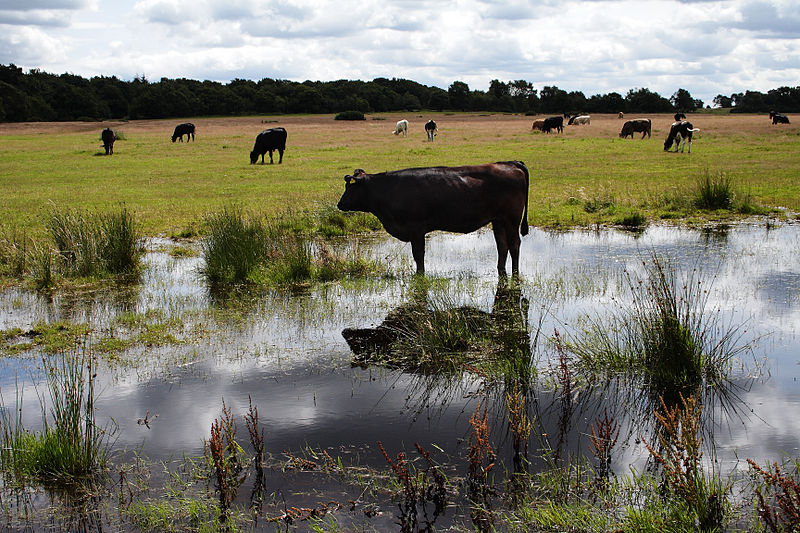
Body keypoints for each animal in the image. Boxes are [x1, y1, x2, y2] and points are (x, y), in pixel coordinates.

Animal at [334, 160, 528, 276]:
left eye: (350, 188)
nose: (340, 203)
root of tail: (510, 163)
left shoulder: (416, 229)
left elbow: (418, 255)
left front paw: (420, 274)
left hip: (511, 219)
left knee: (514, 244)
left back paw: (515, 273)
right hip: (498, 220)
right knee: (502, 245)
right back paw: (500, 270)